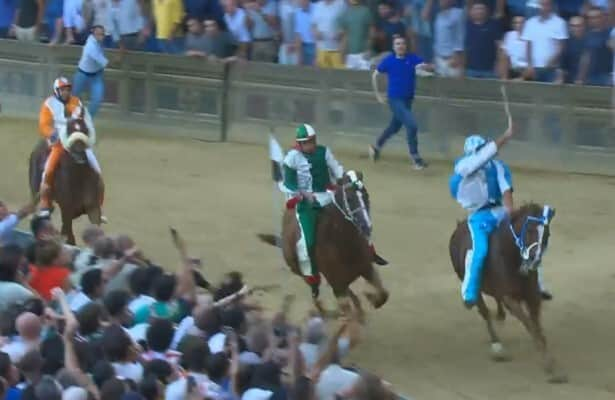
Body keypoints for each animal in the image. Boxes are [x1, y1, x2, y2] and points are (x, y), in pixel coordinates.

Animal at [29, 108, 104, 244]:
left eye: (85, 129)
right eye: (70, 129)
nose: (79, 146)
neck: (78, 175)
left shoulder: (92, 205)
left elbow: (94, 221)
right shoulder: (66, 206)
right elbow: (67, 229)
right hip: (36, 189)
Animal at [260, 170, 390, 318]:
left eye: (366, 195)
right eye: (349, 198)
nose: (366, 226)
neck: (345, 245)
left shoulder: (367, 269)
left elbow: (383, 295)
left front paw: (370, 298)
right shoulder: (338, 286)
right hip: (303, 272)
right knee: (315, 292)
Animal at [448, 205, 568, 382]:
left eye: (547, 233)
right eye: (529, 230)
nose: (535, 260)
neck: (511, 258)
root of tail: (458, 227)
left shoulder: (532, 297)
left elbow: (537, 327)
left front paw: (551, 366)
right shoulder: (509, 298)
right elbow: (529, 324)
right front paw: (549, 365)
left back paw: (500, 315)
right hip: (470, 284)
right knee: (484, 312)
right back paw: (498, 347)